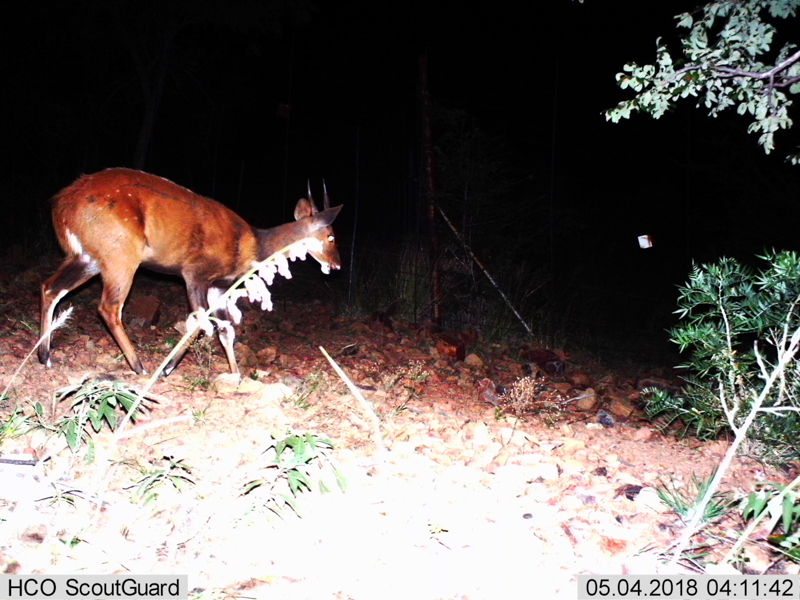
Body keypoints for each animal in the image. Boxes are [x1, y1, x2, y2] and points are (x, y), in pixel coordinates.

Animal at [39, 168, 342, 376]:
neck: (254, 243)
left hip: (86, 256)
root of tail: (61, 205)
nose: (337, 265)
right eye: (331, 236)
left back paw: (45, 356)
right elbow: (200, 321)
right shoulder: (196, 272)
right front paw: (167, 368)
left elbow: (227, 329)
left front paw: (236, 375)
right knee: (108, 307)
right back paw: (140, 367)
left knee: (50, 287)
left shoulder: (220, 286)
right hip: (120, 253)